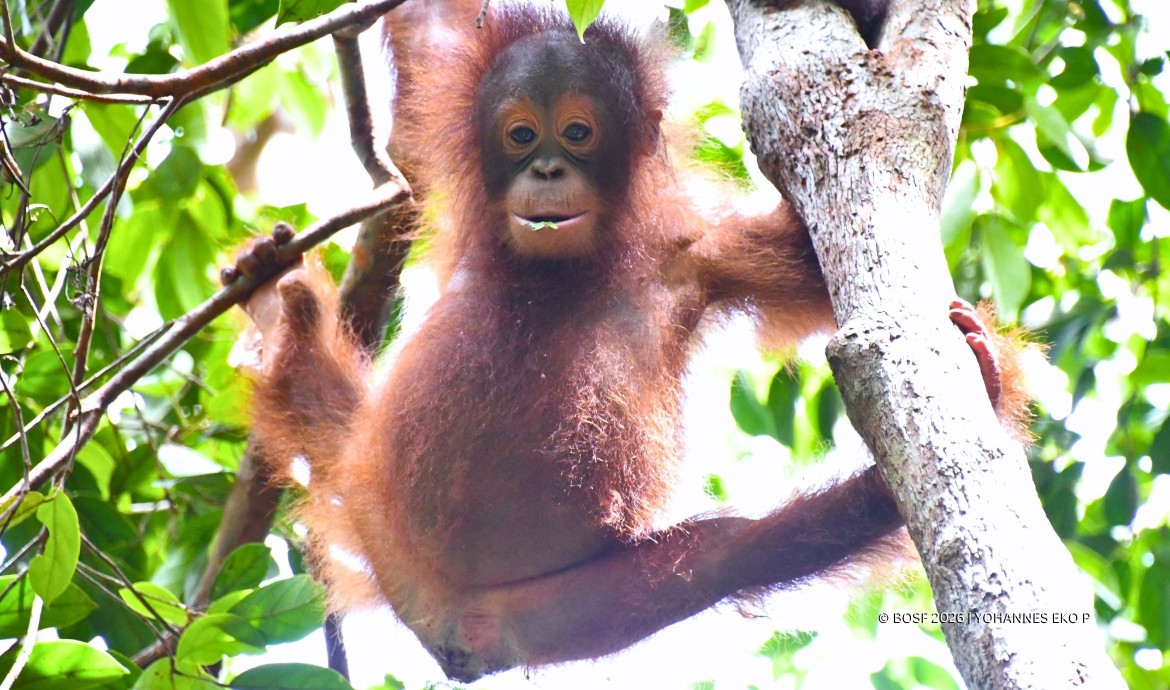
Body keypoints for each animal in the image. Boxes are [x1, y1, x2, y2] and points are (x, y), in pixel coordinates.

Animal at [223, 2, 1031, 683]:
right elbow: (432, 33)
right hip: (380, 512)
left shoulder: (705, 257)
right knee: (320, 404)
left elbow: (824, 244)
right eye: (521, 134)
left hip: (556, 615)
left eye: (577, 133)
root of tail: (445, 626)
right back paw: (277, 312)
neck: (557, 275)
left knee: (727, 556)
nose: (547, 168)